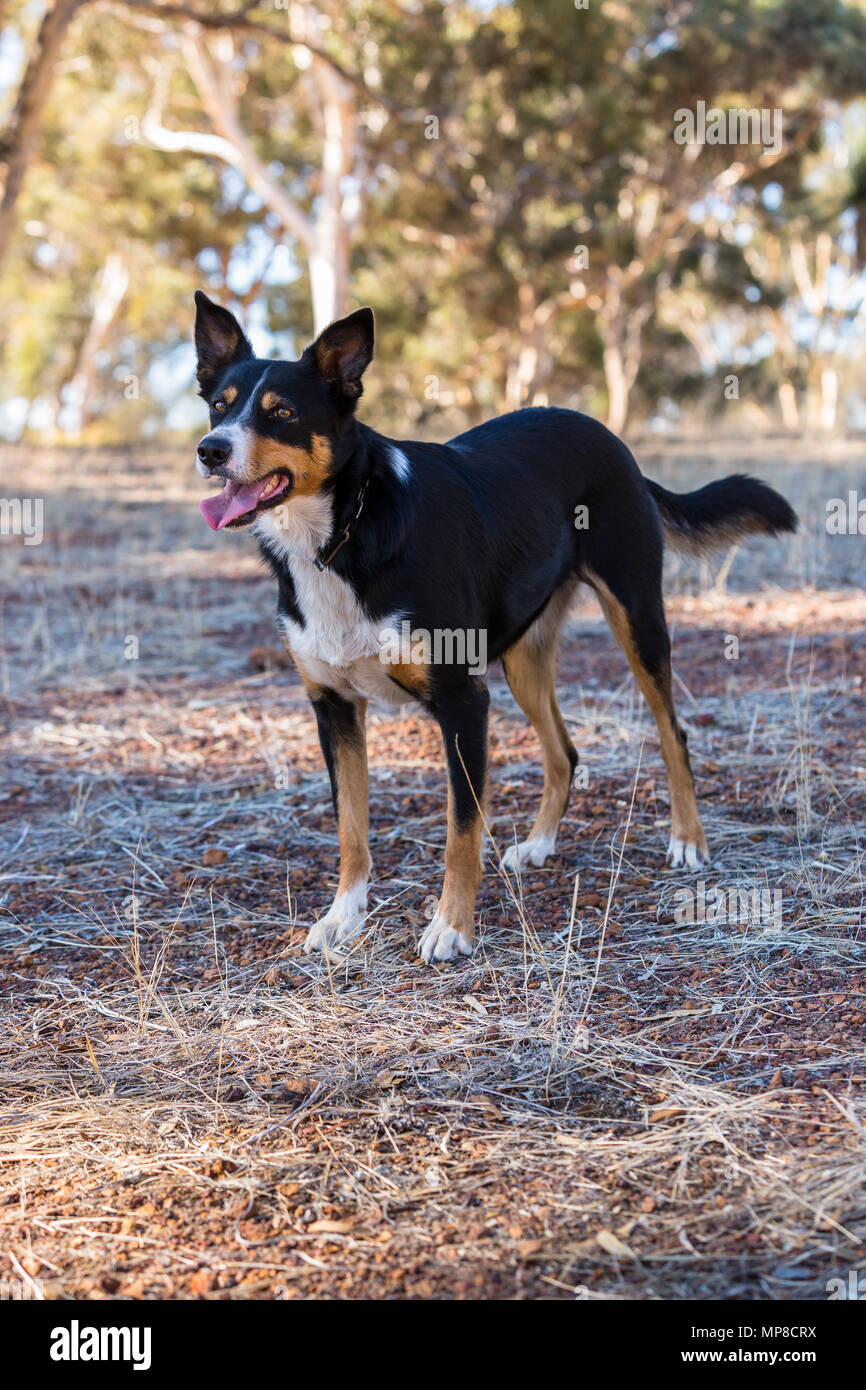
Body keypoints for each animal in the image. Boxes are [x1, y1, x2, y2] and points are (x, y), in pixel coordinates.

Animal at [194, 290, 800, 967]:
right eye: (219, 405)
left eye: (282, 413)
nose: (210, 449)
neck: (341, 535)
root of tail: (610, 438)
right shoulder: (334, 709)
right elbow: (351, 828)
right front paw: (342, 918)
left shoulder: (464, 702)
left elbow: (462, 831)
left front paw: (451, 928)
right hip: (523, 662)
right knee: (564, 752)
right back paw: (539, 846)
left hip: (638, 618)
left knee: (674, 734)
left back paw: (688, 840)